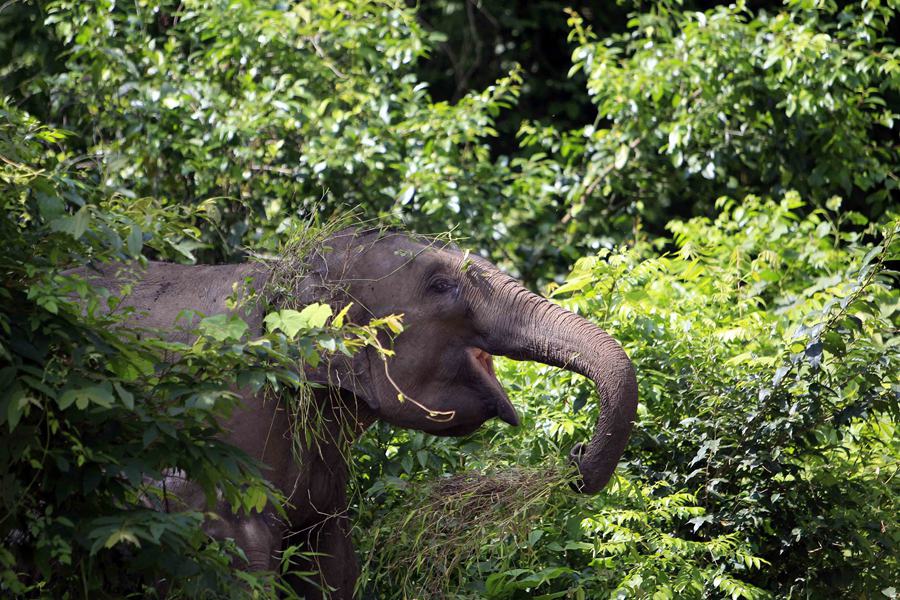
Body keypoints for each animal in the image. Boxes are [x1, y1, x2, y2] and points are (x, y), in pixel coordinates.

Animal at [70, 226, 636, 600]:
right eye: (440, 285)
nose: (575, 454)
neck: (282, 272)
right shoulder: (229, 435)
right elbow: (239, 558)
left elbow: (333, 560)